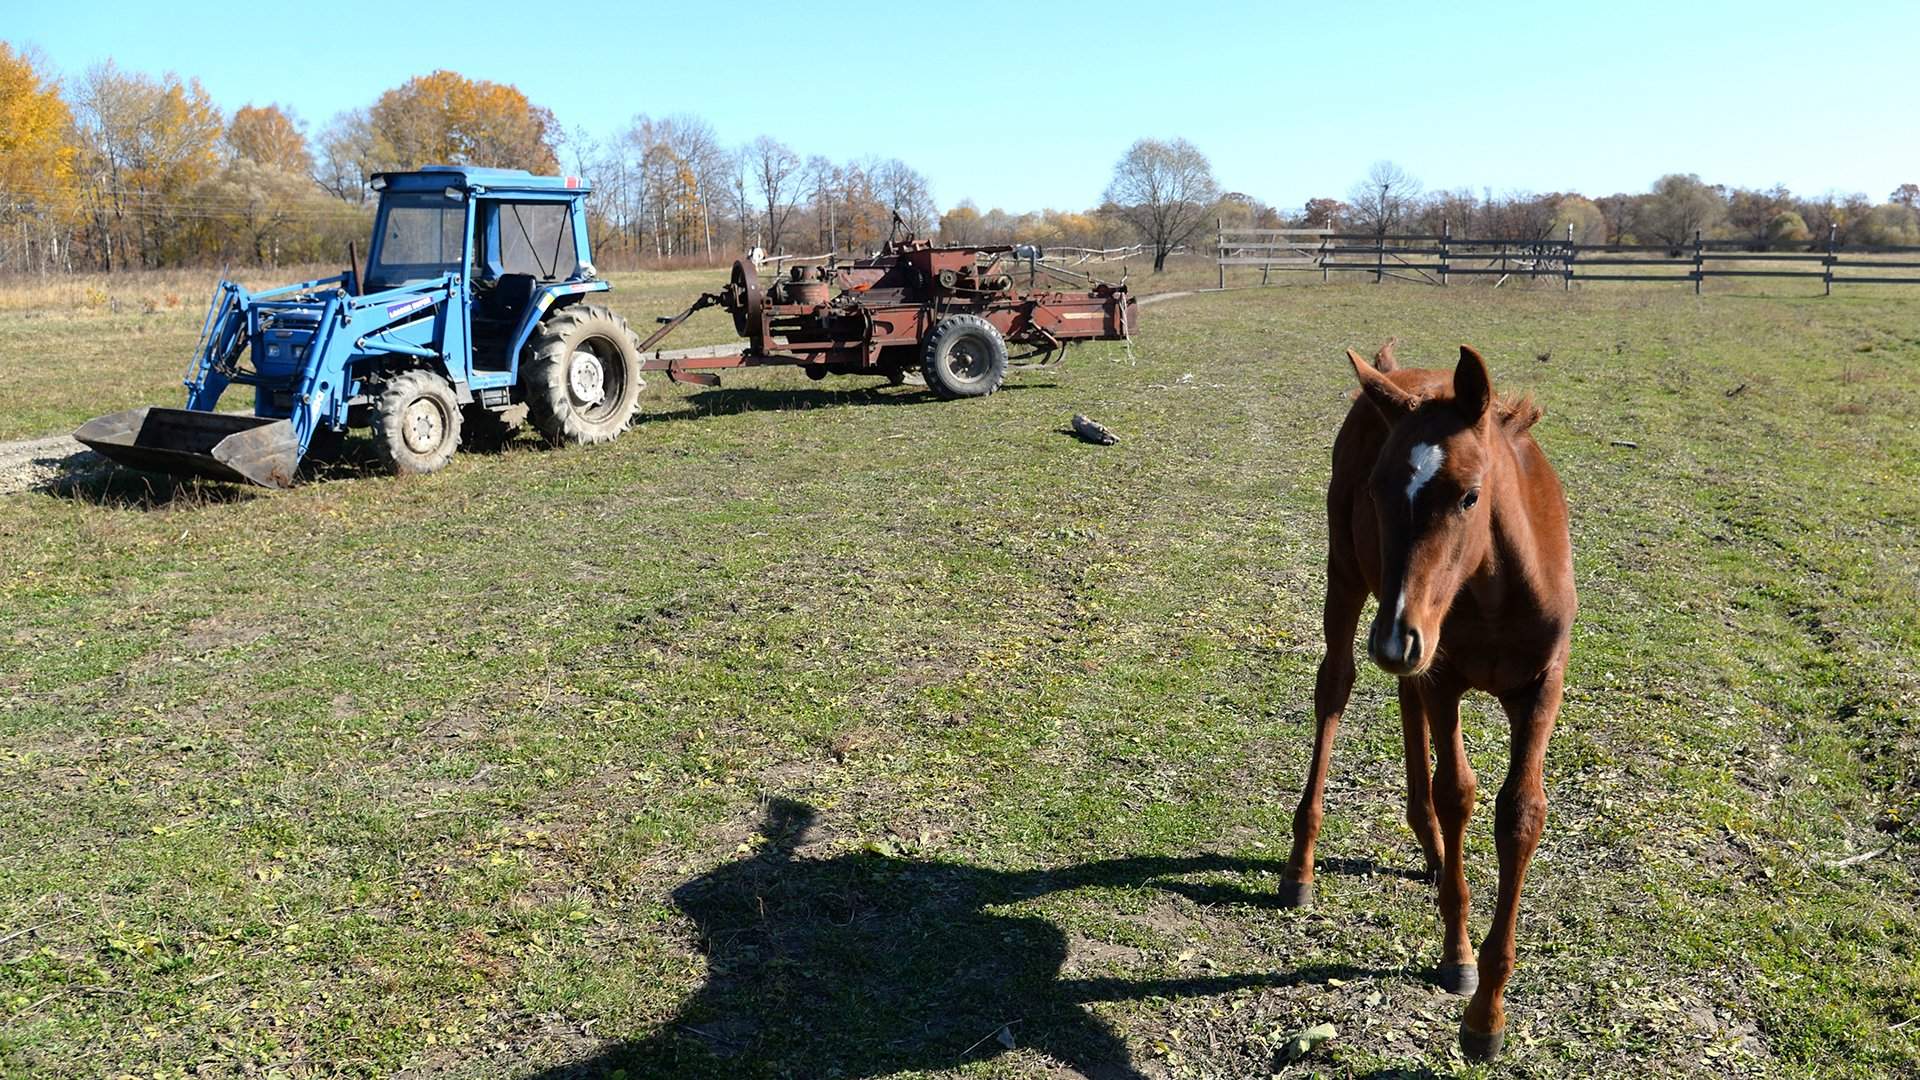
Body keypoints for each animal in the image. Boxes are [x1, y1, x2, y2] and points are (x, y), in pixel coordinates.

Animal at [1274, 340, 1574, 1053]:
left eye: (1469, 496)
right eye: (1378, 490)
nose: (1392, 640)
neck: (1496, 588)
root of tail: (1393, 371)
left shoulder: (1540, 686)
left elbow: (1520, 814)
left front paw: (1490, 1013)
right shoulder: (1445, 673)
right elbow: (1457, 791)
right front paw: (1459, 959)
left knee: (1404, 696)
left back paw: (1432, 849)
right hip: (1354, 581)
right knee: (1336, 686)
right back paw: (1302, 867)